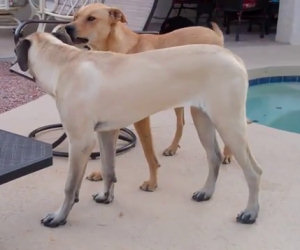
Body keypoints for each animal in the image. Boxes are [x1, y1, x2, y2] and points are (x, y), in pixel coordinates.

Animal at [15, 31, 262, 227]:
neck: (64, 63)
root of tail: (233, 56)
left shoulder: (80, 141)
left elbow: (69, 187)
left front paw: (59, 217)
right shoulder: (106, 133)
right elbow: (108, 169)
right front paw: (106, 197)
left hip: (229, 123)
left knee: (253, 171)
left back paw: (250, 212)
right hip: (203, 119)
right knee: (214, 157)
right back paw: (206, 192)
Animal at [63, 2, 232, 191]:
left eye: (91, 18)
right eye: (75, 16)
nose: (67, 28)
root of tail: (215, 36)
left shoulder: (141, 119)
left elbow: (148, 153)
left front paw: (152, 182)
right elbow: (109, 152)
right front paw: (102, 174)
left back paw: (227, 154)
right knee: (180, 123)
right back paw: (173, 147)